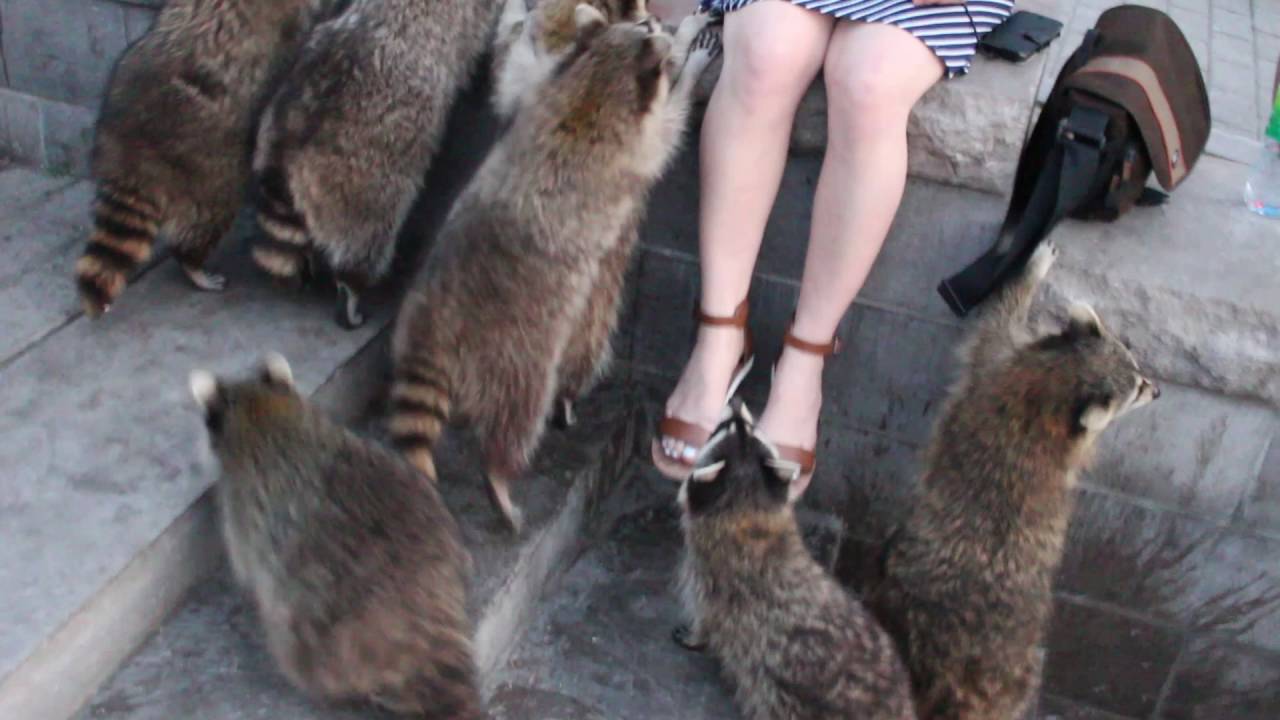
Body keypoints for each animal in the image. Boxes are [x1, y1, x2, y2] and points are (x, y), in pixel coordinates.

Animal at [674, 402, 916, 720]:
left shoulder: (709, 577)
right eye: (744, 427)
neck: (747, 510)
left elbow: (707, 617)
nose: (736, 402)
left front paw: (696, 636)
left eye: (728, 428)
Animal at [866, 243, 1160, 720]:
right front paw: (1030, 273)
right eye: (1135, 388)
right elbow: (998, 318)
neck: (1054, 385)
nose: (1157, 391)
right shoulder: (996, 364)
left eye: (1135, 372)